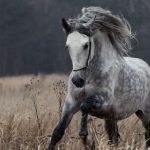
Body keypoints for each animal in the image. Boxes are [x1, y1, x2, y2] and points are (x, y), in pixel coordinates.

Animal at [47, 6, 150, 150]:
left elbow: (84, 106)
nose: (77, 80)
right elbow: (57, 133)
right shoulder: (70, 103)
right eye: (67, 46)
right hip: (112, 118)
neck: (89, 75)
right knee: (114, 138)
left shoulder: (104, 101)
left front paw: (86, 137)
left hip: (146, 115)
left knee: (147, 135)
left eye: (86, 45)